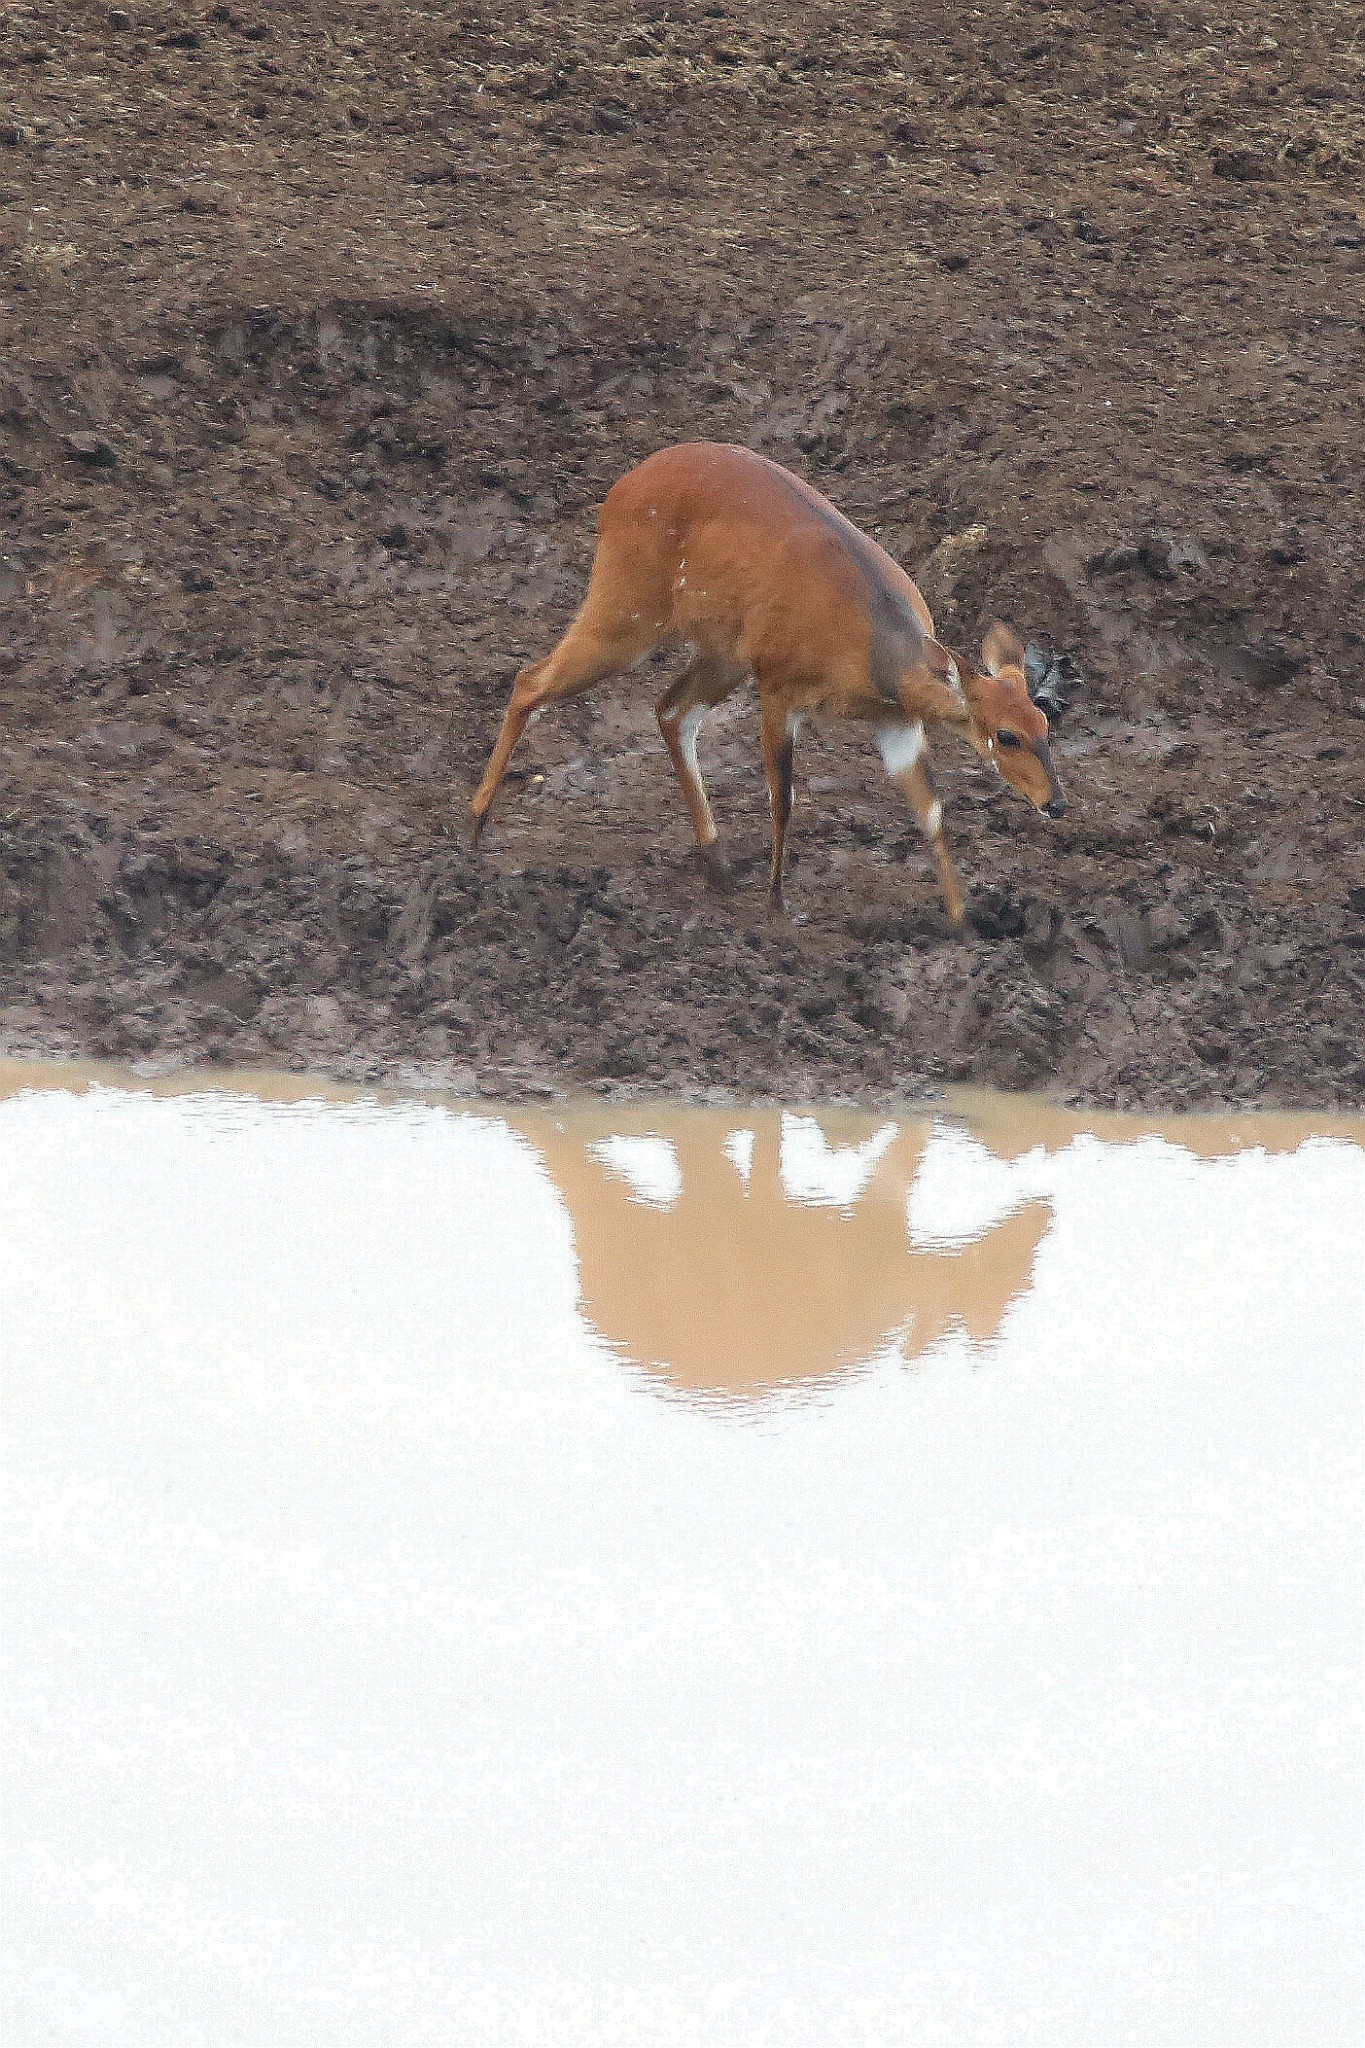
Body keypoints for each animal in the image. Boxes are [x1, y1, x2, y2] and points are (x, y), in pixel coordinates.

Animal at [470, 452, 1064, 933]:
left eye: (1044, 724)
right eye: (1006, 736)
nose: (1055, 804)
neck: (874, 651)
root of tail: (620, 488)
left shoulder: (897, 721)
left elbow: (932, 812)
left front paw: (963, 925)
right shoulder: (780, 688)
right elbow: (783, 798)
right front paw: (778, 905)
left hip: (721, 651)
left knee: (670, 709)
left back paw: (718, 865)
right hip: (629, 612)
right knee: (531, 680)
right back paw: (474, 827)